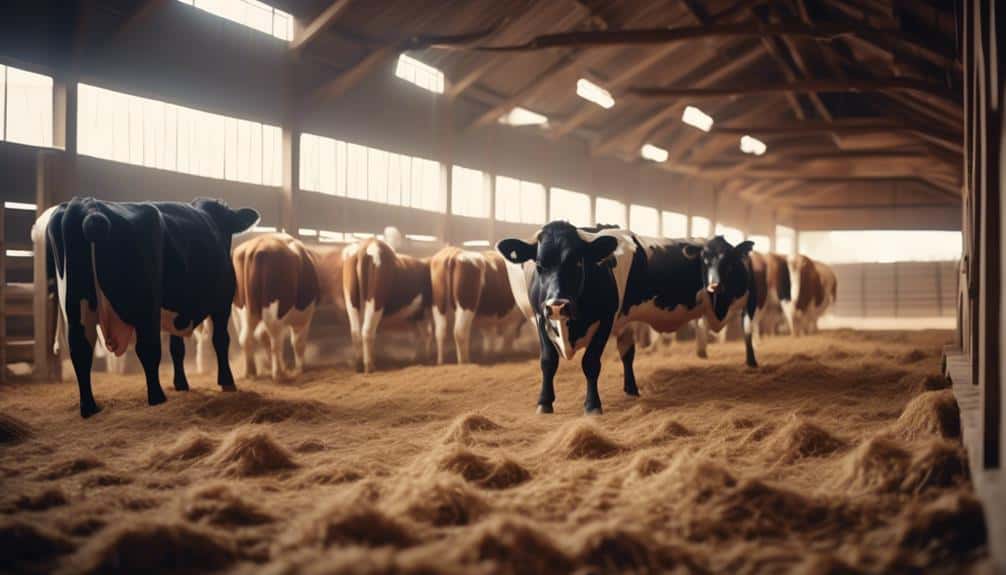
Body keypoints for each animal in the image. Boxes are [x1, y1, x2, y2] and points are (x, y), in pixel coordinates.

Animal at [32, 197, 259, 418]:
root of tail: (88, 204)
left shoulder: (175, 312)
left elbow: (177, 348)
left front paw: (181, 384)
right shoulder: (222, 303)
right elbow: (221, 341)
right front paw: (227, 382)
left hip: (75, 307)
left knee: (80, 350)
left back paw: (89, 407)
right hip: (145, 308)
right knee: (147, 350)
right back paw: (156, 397)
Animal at [230, 233, 345, 381]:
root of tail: (254, 247)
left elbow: (261, 335)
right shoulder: (303, 317)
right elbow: (297, 342)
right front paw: (299, 368)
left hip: (241, 311)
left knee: (246, 338)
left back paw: (251, 372)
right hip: (275, 311)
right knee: (275, 340)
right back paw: (278, 373)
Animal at [342, 237, 432, 373]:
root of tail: (367, 244)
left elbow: (419, 334)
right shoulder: (422, 312)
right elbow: (425, 333)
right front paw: (423, 358)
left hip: (351, 301)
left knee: (356, 332)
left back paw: (359, 366)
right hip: (376, 301)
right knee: (367, 330)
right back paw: (369, 366)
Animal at [499, 221, 755, 415]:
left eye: (578, 262)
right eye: (539, 265)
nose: (557, 305)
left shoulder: (605, 319)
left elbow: (591, 363)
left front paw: (592, 406)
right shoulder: (541, 318)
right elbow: (548, 361)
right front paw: (544, 403)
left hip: (749, 299)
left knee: (748, 331)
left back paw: (752, 363)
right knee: (627, 352)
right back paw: (631, 388)